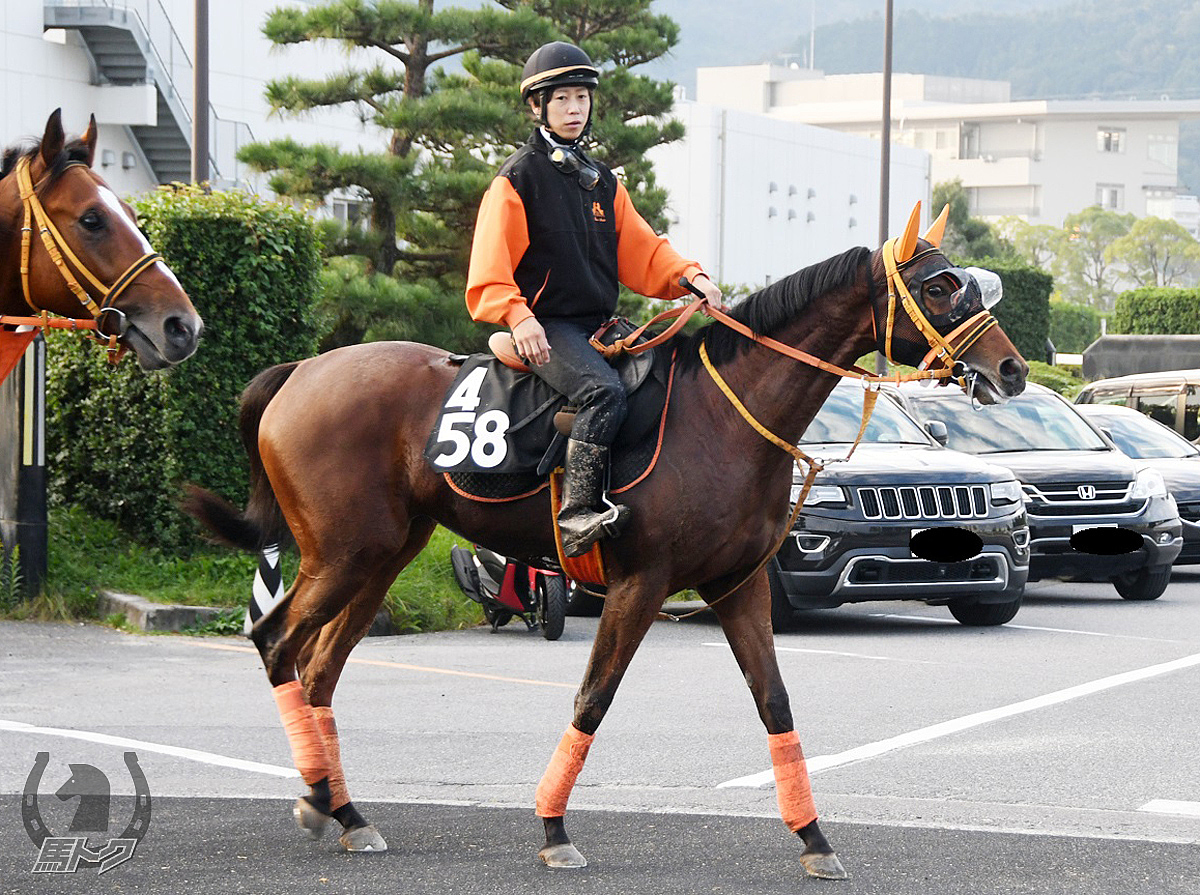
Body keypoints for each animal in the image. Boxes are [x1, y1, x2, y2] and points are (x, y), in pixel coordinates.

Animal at [182, 202, 1027, 878]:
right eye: (940, 286)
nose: (1014, 368)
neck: (725, 416)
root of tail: (301, 370)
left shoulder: (738, 584)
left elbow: (775, 702)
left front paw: (814, 836)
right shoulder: (639, 583)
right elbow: (594, 696)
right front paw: (554, 827)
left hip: (383, 554)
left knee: (320, 667)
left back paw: (345, 810)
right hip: (342, 552)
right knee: (277, 643)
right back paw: (318, 794)